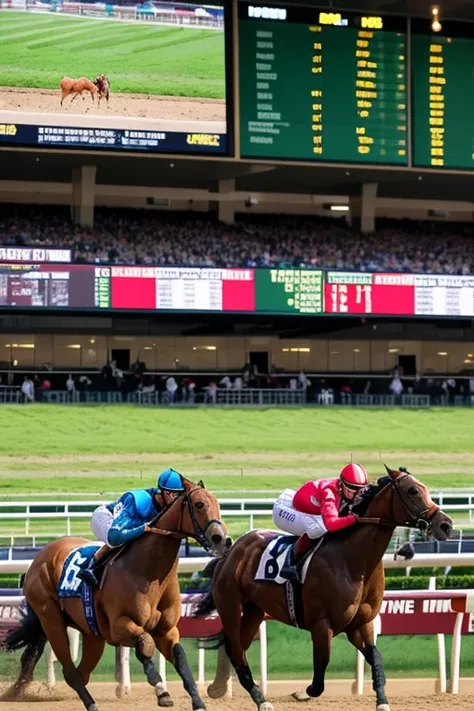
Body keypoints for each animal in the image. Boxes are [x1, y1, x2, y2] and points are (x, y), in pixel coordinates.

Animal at [3, 478, 229, 711]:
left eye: (217, 503)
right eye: (199, 504)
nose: (222, 540)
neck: (149, 573)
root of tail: (38, 559)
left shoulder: (166, 630)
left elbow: (181, 660)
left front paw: (198, 702)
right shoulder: (119, 626)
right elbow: (145, 644)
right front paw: (161, 690)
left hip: (91, 633)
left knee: (80, 671)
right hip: (51, 620)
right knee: (72, 672)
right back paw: (92, 705)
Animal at [195, 468, 452, 711]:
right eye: (413, 491)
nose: (446, 525)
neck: (355, 560)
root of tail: (233, 549)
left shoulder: (360, 624)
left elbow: (377, 660)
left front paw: (382, 701)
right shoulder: (321, 625)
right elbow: (320, 675)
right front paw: (301, 692)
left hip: (254, 610)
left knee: (234, 649)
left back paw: (234, 692)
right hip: (230, 606)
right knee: (237, 650)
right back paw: (259, 699)